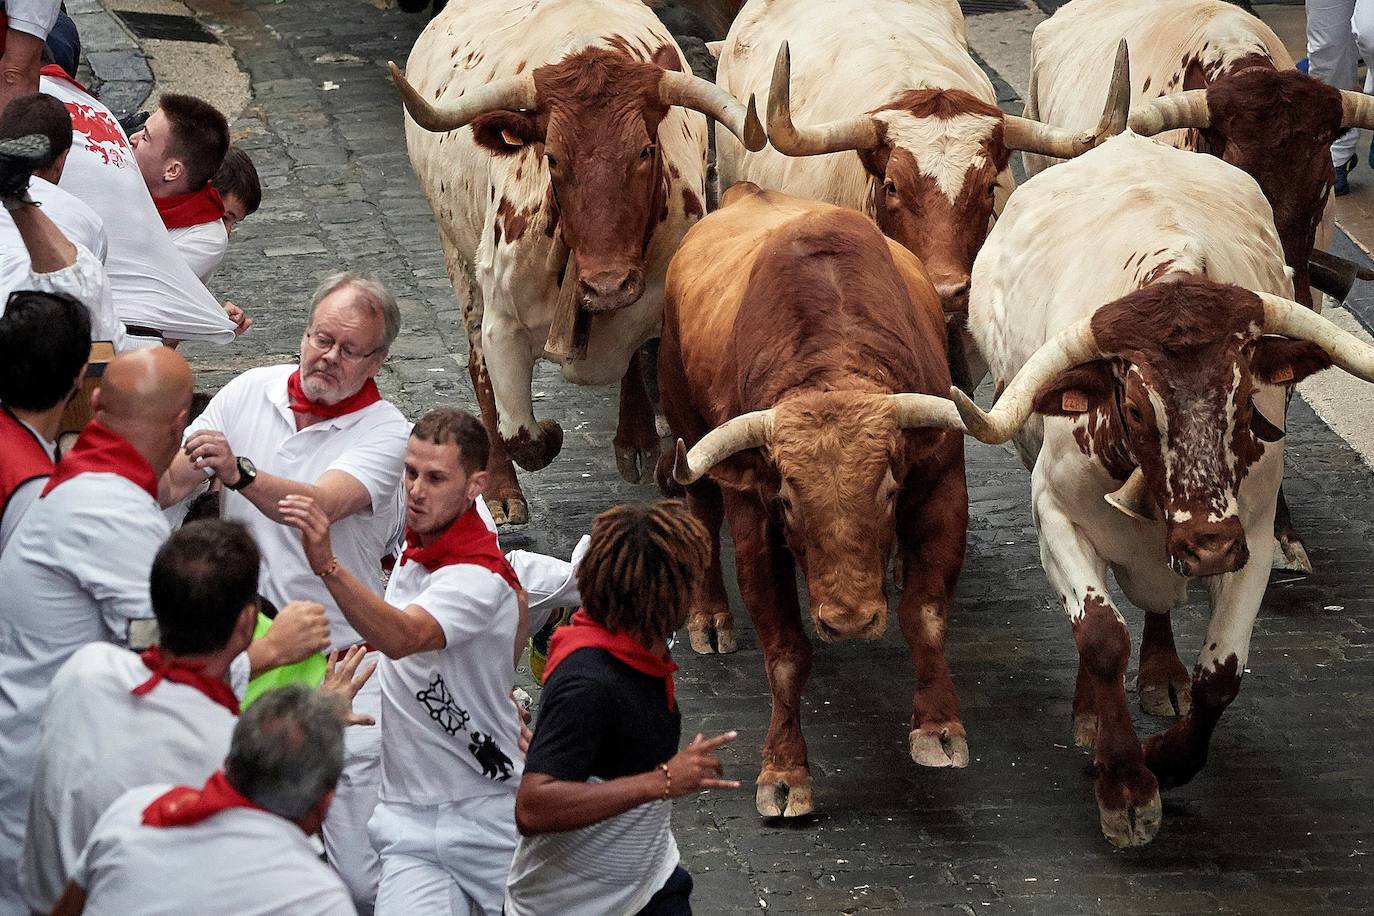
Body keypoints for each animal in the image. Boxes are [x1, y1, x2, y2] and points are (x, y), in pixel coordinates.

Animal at [659, 184, 972, 818]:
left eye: (889, 488)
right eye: (786, 501)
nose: (849, 621)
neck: (835, 357)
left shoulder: (943, 491)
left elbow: (924, 614)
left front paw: (939, 727)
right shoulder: (754, 524)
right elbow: (785, 652)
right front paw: (783, 771)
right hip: (688, 431)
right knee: (701, 509)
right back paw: (709, 616)